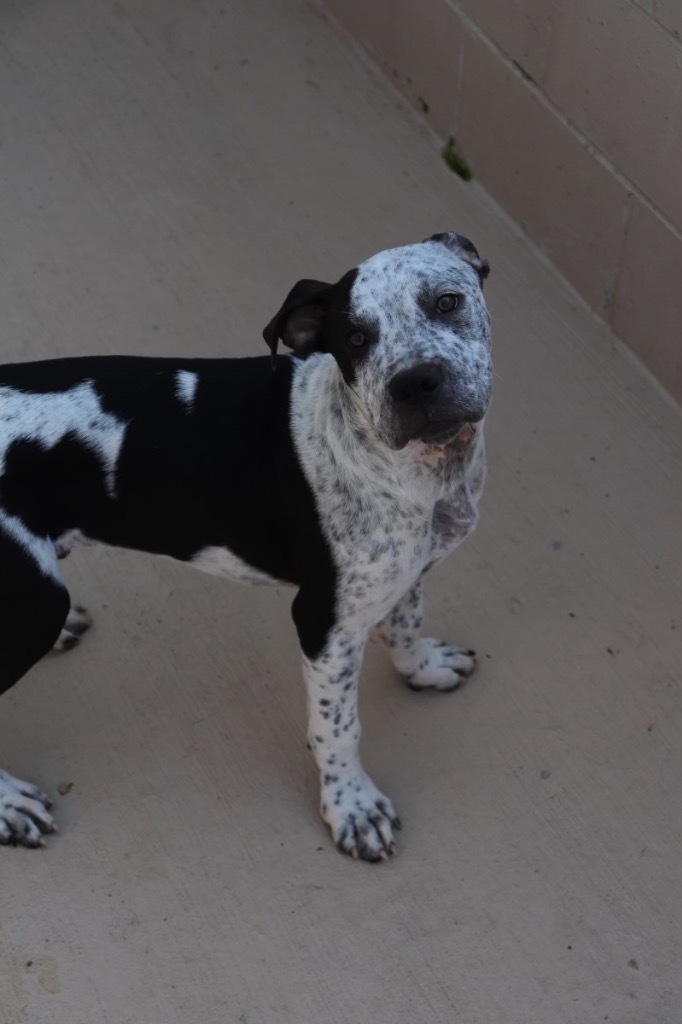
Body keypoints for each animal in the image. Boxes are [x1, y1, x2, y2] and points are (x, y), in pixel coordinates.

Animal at [0, 230, 489, 856]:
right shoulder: (324, 623)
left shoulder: (404, 571)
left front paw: (422, 666)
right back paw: (8, 805)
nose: (415, 383)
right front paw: (351, 806)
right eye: (355, 339)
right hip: (34, 603)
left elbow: (406, 622)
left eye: (447, 302)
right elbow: (338, 727)